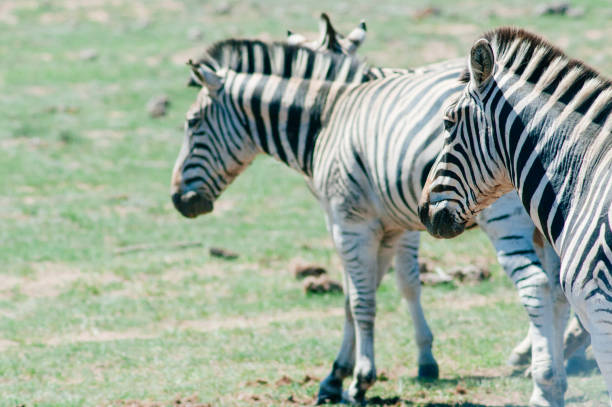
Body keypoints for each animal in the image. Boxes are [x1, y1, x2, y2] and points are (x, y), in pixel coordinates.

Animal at [169, 39, 568, 407]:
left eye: (192, 123)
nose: (177, 200)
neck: (327, 120)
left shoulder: (348, 223)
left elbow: (361, 300)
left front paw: (360, 380)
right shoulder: (385, 226)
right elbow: (363, 295)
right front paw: (338, 375)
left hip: (505, 220)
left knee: (536, 285)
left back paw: (544, 382)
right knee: (559, 288)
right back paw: (556, 369)